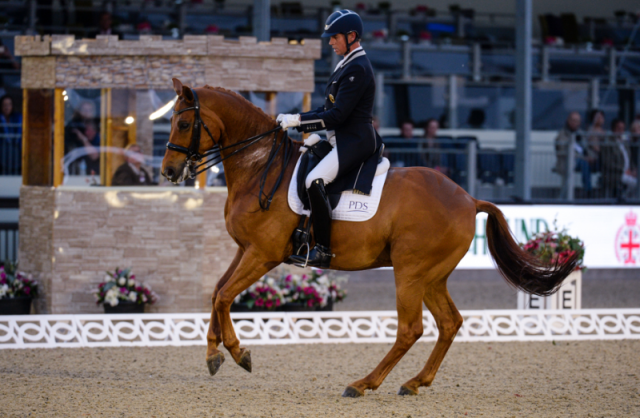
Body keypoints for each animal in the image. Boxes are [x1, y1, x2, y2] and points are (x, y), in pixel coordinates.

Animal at [162, 79, 576, 398]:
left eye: (183, 123)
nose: (168, 171)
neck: (260, 165)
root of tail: (468, 198)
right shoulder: (245, 249)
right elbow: (217, 291)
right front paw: (213, 354)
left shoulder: (263, 253)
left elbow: (226, 296)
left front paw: (237, 352)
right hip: (431, 276)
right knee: (449, 323)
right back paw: (415, 382)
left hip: (410, 271)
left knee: (411, 329)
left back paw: (363, 384)